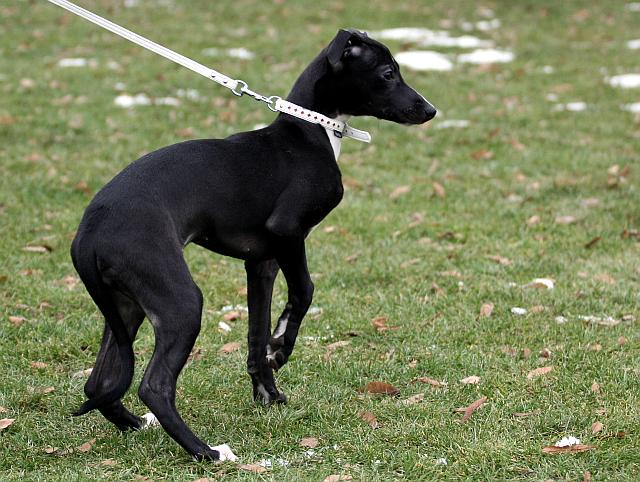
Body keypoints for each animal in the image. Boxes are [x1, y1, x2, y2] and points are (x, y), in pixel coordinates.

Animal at [70, 28, 436, 461]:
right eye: (387, 73)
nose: (430, 111)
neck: (310, 133)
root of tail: (89, 233)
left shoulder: (262, 263)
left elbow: (255, 334)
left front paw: (268, 392)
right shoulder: (288, 232)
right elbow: (305, 291)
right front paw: (281, 348)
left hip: (126, 306)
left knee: (99, 384)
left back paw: (136, 424)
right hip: (179, 301)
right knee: (153, 386)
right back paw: (206, 452)